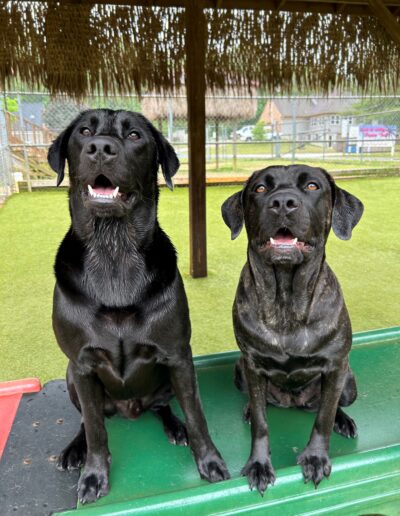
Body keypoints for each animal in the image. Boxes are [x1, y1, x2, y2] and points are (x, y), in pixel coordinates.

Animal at [220, 167, 364, 494]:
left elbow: (324, 418)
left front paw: (315, 457)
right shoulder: (252, 365)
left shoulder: (336, 366)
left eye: (312, 186)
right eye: (260, 189)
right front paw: (259, 464)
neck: (286, 298)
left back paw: (344, 420)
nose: (283, 202)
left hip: (349, 382)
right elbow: (262, 425)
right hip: (238, 371)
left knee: (332, 404)